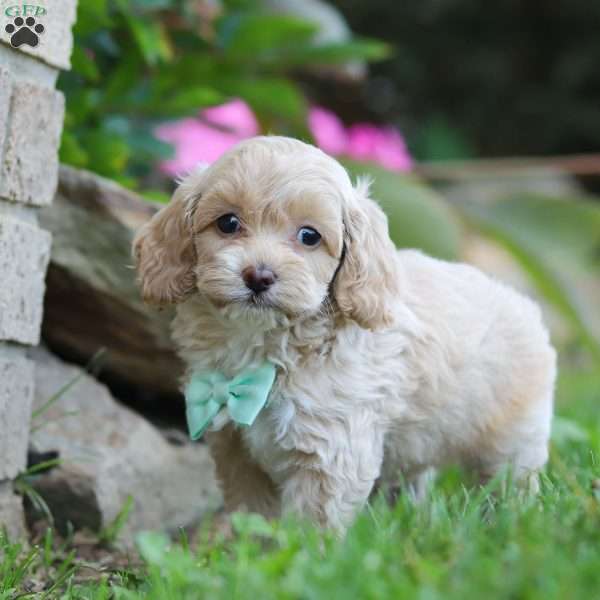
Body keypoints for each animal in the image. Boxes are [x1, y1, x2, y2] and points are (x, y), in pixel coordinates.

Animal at [134, 135, 556, 528]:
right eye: (228, 223)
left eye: (309, 236)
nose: (259, 276)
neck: (266, 346)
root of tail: (524, 304)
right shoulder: (237, 450)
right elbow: (253, 513)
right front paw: (249, 550)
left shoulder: (331, 453)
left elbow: (311, 525)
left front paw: (303, 555)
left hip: (514, 440)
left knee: (510, 483)